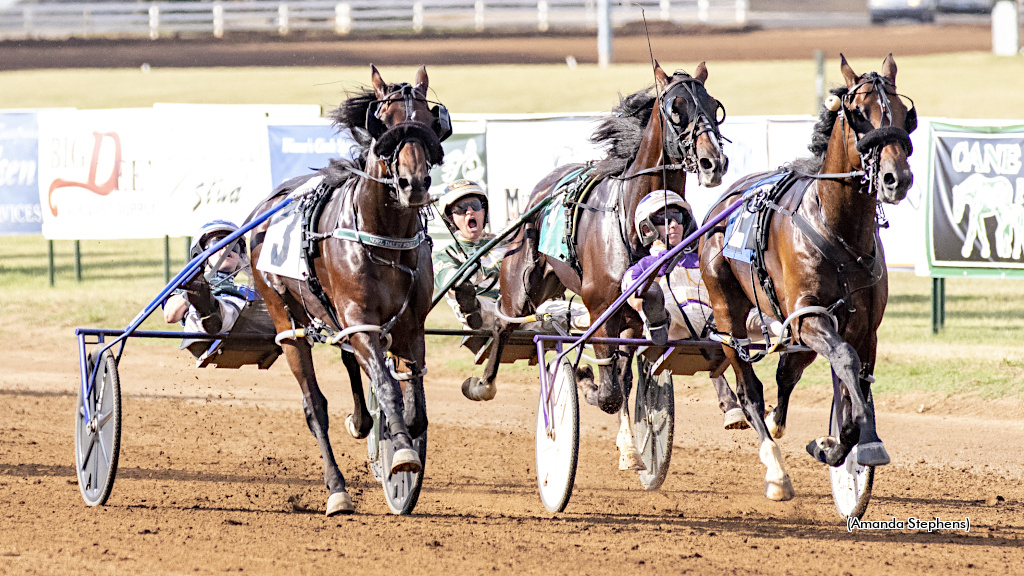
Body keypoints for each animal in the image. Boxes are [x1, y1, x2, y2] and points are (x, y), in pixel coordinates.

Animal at [246, 65, 444, 512]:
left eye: (428, 121)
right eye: (383, 123)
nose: (414, 183)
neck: (384, 237)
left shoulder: (410, 328)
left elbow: (415, 403)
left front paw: (398, 438)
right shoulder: (361, 320)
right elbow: (387, 388)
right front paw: (401, 455)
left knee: (349, 360)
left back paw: (360, 420)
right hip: (287, 323)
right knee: (314, 405)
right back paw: (336, 489)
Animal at [468, 62, 733, 467]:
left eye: (714, 106)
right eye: (675, 108)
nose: (712, 161)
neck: (632, 219)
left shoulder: (635, 316)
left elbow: (623, 379)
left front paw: (629, 447)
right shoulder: (600, 306)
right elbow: (607, 388)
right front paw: (584, 381)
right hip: (522, 285)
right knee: (502, 324)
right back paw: (483, 384)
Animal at [700, 56, 917, 500]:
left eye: (904, 113)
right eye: (860, 114)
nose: (896, 178)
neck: (838, 228)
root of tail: (723, 202)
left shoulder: (863, 327)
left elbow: (856, 381)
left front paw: (847, 445)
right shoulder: (811, 317)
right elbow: (847, 364)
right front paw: (843, 446)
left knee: (786, 373)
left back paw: (779, 421)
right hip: (728, 311)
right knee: (749, 389)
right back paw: (774, 468)